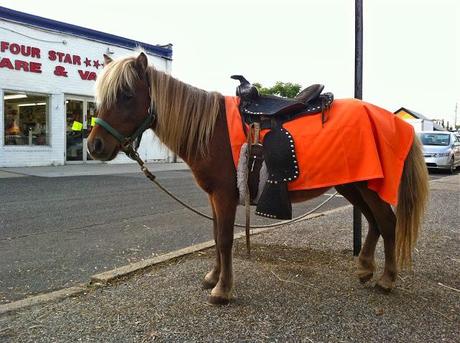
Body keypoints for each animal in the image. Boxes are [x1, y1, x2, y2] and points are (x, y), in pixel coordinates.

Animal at [88, 52, 430, 306]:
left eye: (126, 95)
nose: (95, 146)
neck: (210, 130)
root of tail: (395, 121)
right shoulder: (214, 197)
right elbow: (216, 237)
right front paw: (213, 278)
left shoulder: (224, 196)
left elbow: (225, 239)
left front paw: (222, 291)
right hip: (353, 184)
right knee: (374, 222)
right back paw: (364, 269)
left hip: (364, 186)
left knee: (387, 222)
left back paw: (386, 280)